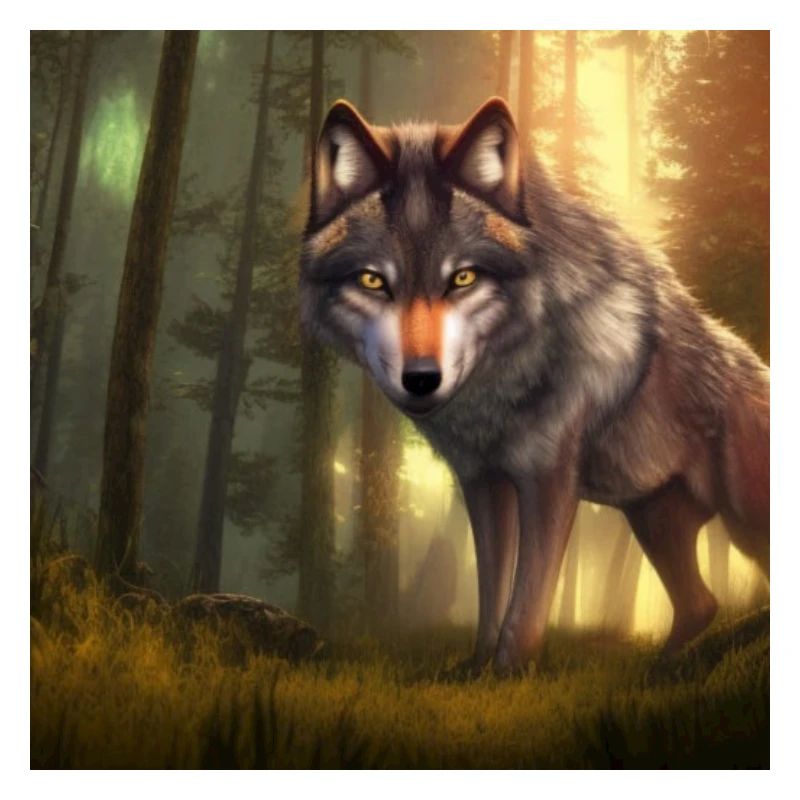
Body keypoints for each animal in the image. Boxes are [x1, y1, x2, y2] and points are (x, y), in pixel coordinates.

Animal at [299, 97, 770, 675]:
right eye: (373, 281)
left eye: (462, 278)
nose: (422, 379)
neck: (501, 382)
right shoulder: (482, 482)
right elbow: (492, 588)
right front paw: (476, 671)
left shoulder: (547, 481)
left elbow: (528, 599)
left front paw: (508, 672)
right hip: (652, 519)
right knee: (701, 605)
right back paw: (662, 672)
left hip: (744, 521)